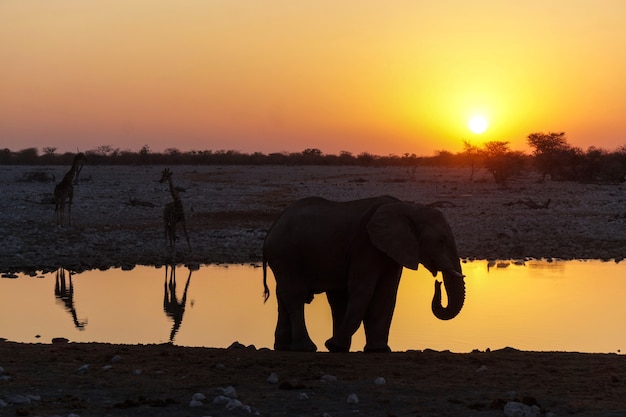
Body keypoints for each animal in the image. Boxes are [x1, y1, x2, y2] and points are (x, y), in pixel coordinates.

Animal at [260, 195, 464, 352]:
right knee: (295, 295)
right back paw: (306, 348)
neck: (408, 208)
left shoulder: (390, 250)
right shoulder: (365, 246)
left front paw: (378, 350)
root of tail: (272, 228)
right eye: (441, 240)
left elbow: (386, 294)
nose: (437, 283)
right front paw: (334, 346)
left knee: (283, 294)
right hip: (285, 254)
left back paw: (282, 346)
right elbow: (363, 291)